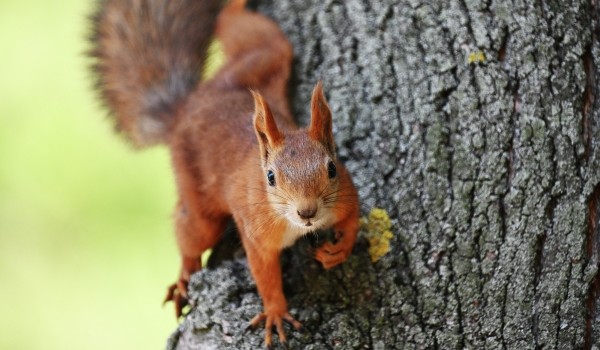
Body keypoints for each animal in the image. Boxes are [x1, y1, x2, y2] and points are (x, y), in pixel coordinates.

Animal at [89, 0, 358, 346]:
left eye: (332, 168)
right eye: (270, 177)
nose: (307, 211)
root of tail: (186, 108)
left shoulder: (346, 194)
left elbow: (354, 218)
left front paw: (341, 249)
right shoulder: (256, 231)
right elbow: (264, 273)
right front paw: (275, 311)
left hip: (263, 58)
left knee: (249, 35)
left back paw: (234, 6)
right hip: (198, 196)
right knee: (190, 232)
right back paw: (184, 277)